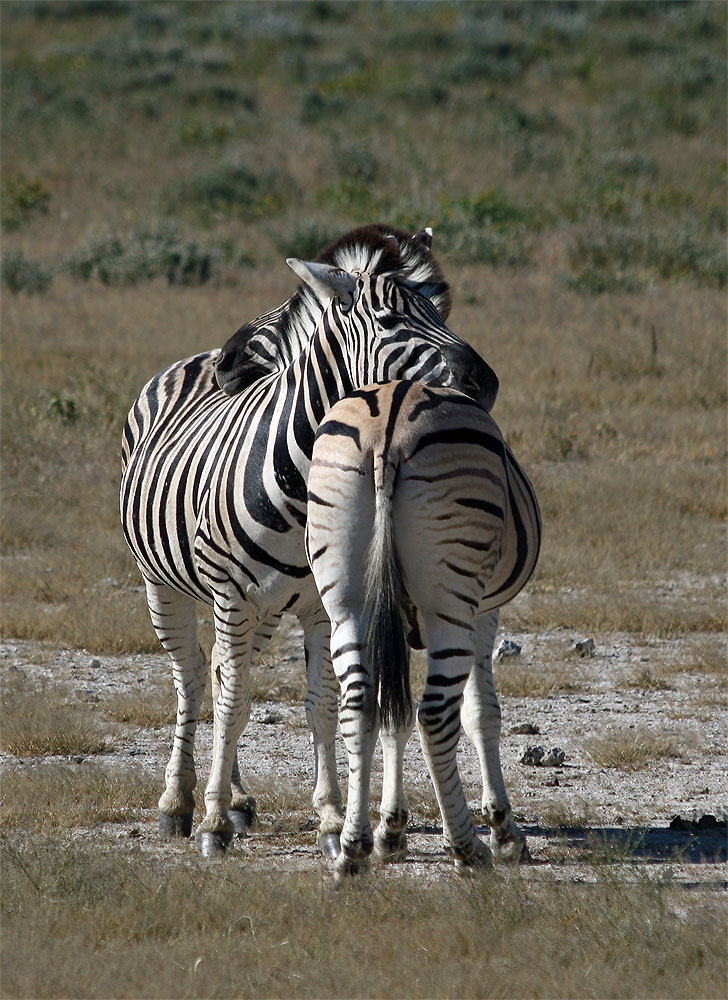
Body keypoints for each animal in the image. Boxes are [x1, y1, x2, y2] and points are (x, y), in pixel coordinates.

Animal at [121, 229, 500, 860]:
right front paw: (212, 824)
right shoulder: (230, 596)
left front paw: (329, 818)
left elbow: (322, 704)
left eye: (442, 314)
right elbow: (233, 704)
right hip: (164, 585)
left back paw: (236, 798)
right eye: (391, 318)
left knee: (221, 674)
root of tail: (194, 358)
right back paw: (179, 802)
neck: (300, 482)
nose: (485, 382)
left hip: (269, 608)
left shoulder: (324, 606)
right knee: (194, 679)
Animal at [306, 378, 540, 872]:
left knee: (361, 706)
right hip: (450, 603)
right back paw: (467, 848)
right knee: (434, 714)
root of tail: (388, 427)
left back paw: (353, 850)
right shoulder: (483, 613)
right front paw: (504, 829)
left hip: (346, 602)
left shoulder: (389, 619)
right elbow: (481, 712)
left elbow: (393, 716)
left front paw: (390, 830)